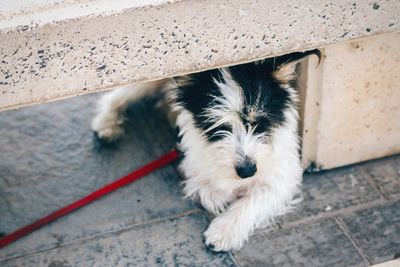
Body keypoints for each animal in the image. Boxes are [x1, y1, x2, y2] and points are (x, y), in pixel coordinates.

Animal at [90, 49, 318, 251]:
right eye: (217, 127)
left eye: (259, 123)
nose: (247, 171)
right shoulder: (192, 162)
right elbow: (207, 187)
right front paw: (220, 195)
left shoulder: (283, 175)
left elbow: (256, 199)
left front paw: (225, 230)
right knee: (116, 96)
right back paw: (106, 124)